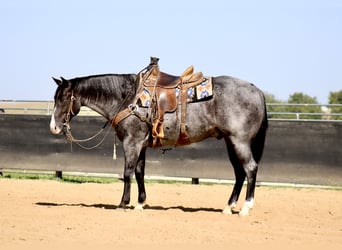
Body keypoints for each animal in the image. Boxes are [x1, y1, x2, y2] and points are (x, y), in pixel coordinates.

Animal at [50, 64, 268, 215]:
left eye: (63, 98)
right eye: (54, 98)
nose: (54, 127)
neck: (128, 98)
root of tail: (257, 90)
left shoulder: (131, 143)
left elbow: (127, 172)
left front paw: (123, 204)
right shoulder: (141, 145)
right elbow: (140, 172)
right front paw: (140, 203)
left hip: (239, 142)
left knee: (250, 169)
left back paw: (245, 208)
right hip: (231, 142)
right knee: (239, 173)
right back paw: (228, 207)